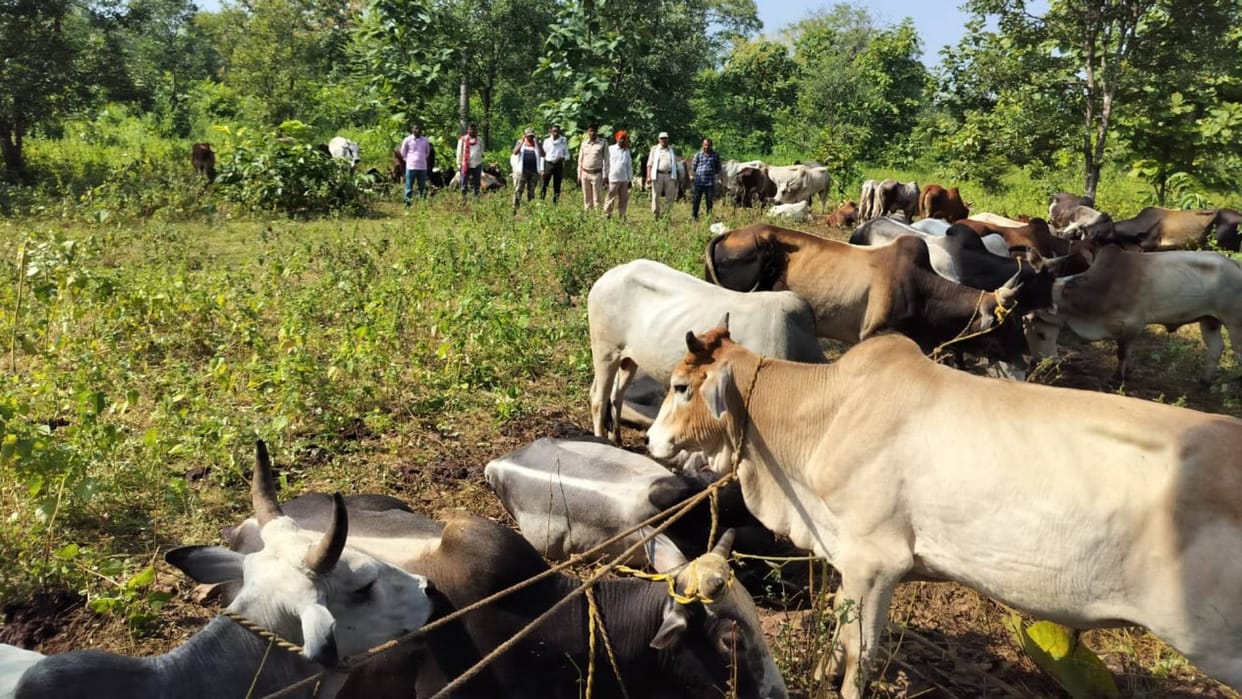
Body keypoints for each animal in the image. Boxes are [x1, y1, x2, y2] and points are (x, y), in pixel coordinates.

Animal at [587, 259, 826, 444]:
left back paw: (616, 439)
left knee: (616, 395)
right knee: (599, 399)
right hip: (605, 351)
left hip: (629, 359)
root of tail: (608, 276)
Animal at [646, 325, 1242, 699]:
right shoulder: (857, 563)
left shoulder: (875, 561)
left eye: (680, 387)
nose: (650, 440)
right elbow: (840, 631)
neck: (827, 413)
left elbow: (860, 651)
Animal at [1025, 245, 1242, 384]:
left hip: (1235, 323)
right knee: (1216, 348)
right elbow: (1126, 353)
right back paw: (1204, 381)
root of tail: (1235, 264)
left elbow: (1122, 353)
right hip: (1210, 321)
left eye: (1040, 332)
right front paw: (1127, 372)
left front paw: (1118, 377)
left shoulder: (1132, 325)